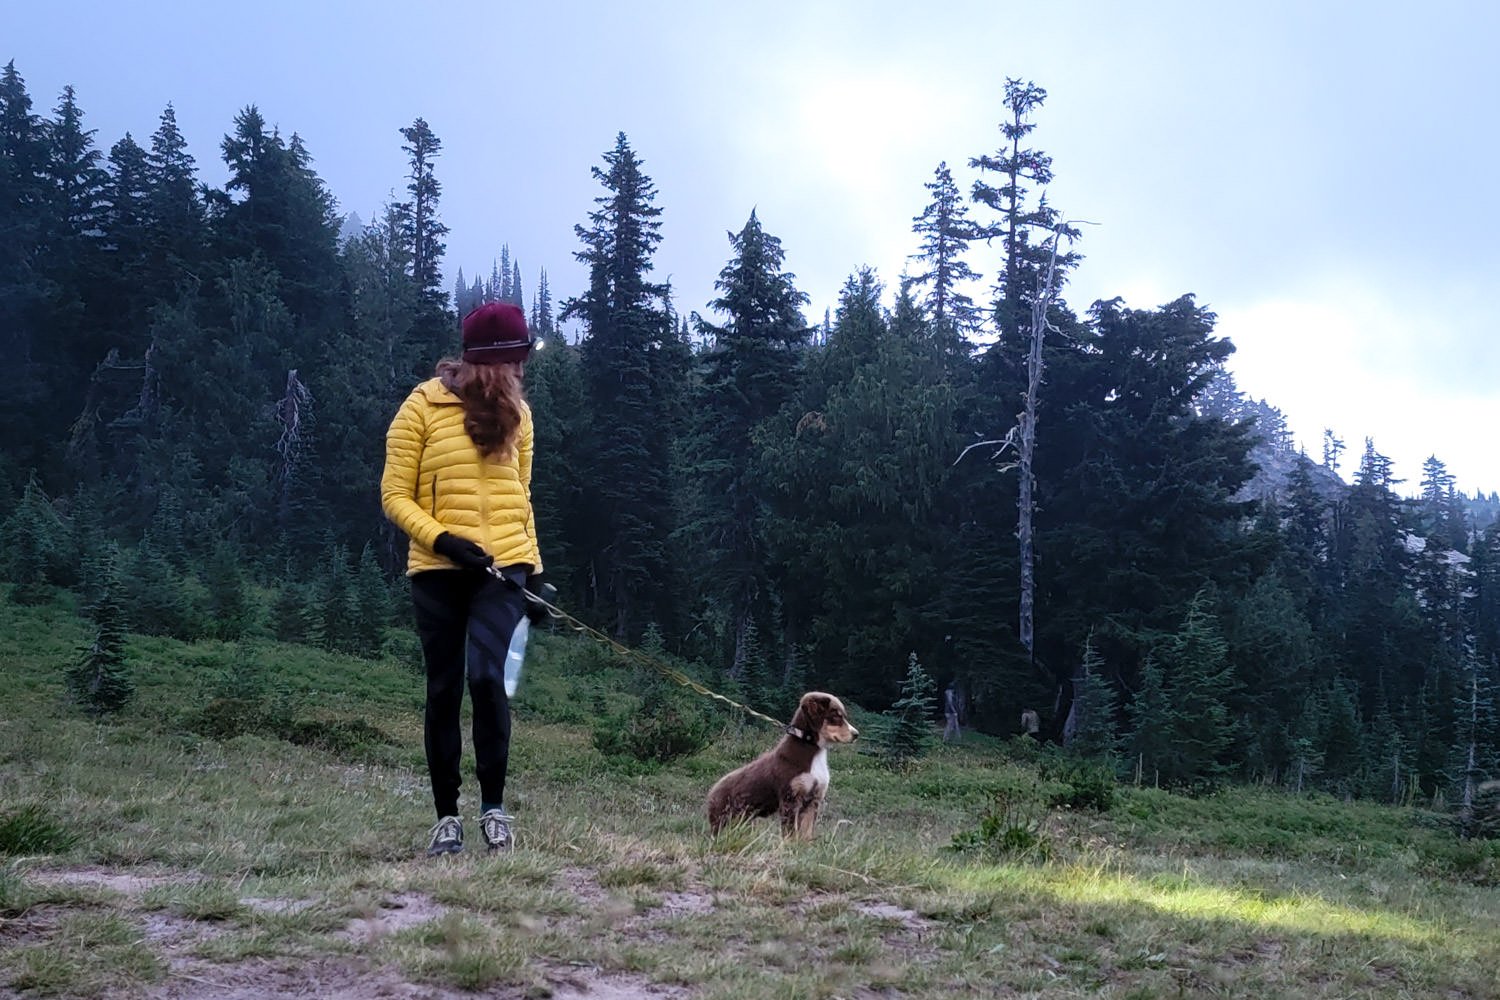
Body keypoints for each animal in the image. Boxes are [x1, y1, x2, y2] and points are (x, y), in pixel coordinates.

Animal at [702, 692, 858, 839]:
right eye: (836, 716)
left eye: (844, 716)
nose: (856, 734)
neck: (812, 751)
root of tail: (712, 791)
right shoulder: (791, 799)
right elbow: (790, 833)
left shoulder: (814, 800)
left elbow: (806, 834)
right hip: (722, 821)